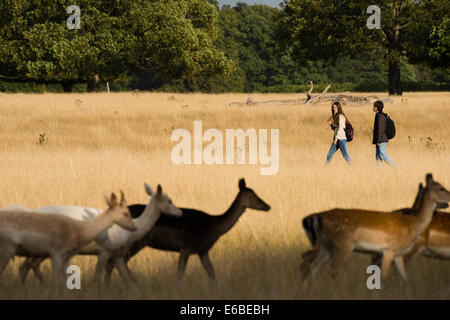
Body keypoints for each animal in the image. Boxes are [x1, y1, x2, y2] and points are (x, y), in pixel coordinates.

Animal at [103, 179, 268, 282]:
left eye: (255, 192)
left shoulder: (203, 251)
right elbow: (180, 275)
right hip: (133, 243)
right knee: (114, 263)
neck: (213, 227)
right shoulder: (186, 248)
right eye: (252, 195)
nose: (267, 206)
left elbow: (212, 274)